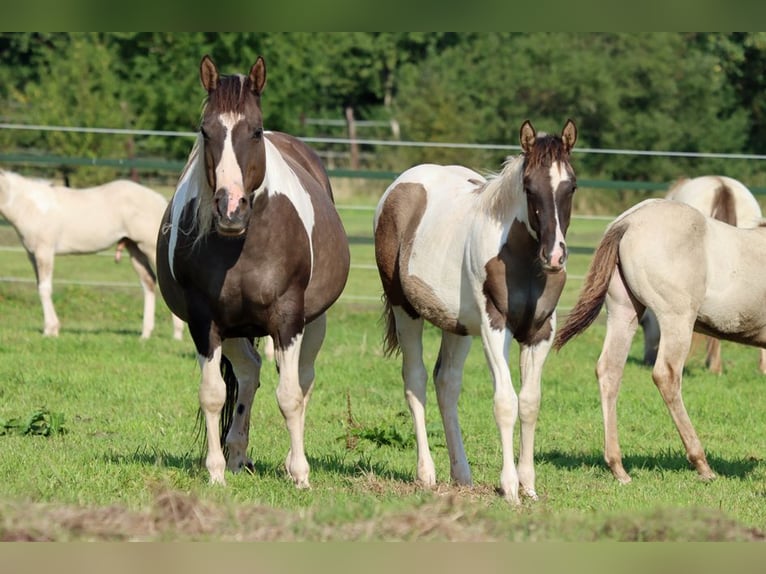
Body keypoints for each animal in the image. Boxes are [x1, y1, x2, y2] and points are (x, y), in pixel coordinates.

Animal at [0, 169, 184, 340]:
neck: (31, 206)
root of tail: (161, 200)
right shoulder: (32, 255)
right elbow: (40, 287)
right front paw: (50, 329)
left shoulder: (44, 252)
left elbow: (45, 289)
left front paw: (51, 330)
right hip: (134, 248)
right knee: (148, 282)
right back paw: (145, 334)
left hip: (150, 247)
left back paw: (177, 334)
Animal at [158, 56, 352, 490]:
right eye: (205, 130)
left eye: (256, 131)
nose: (231, 209)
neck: (243, 244)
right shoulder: (206, 321)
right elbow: (213, 394)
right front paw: (216, 471)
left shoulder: (288, 317)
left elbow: (290, 395)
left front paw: (300, 474)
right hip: (234, 328)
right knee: (248, 374)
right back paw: (237, 455)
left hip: (314, 321)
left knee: (302, 380)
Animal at [376, 119, 580, 506]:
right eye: (528, 187)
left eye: (571, 186)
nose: (555, 256)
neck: (520, 259)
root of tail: (399, 187)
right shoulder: (493, 326)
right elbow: (505, 402)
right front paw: (510, 488)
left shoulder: (540, 332)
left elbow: (530, 402)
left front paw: (529, 485)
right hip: (405, 310)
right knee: (416, 380)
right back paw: (426, 474)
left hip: (456, 326)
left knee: (446, 384)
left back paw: (462, 475)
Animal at [556, 198, 766, 486]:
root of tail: (628, 221)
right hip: (677, 319)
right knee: (666, 375)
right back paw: (702, 465)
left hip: (624, 313)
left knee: (609, 370)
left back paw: (618, 468)